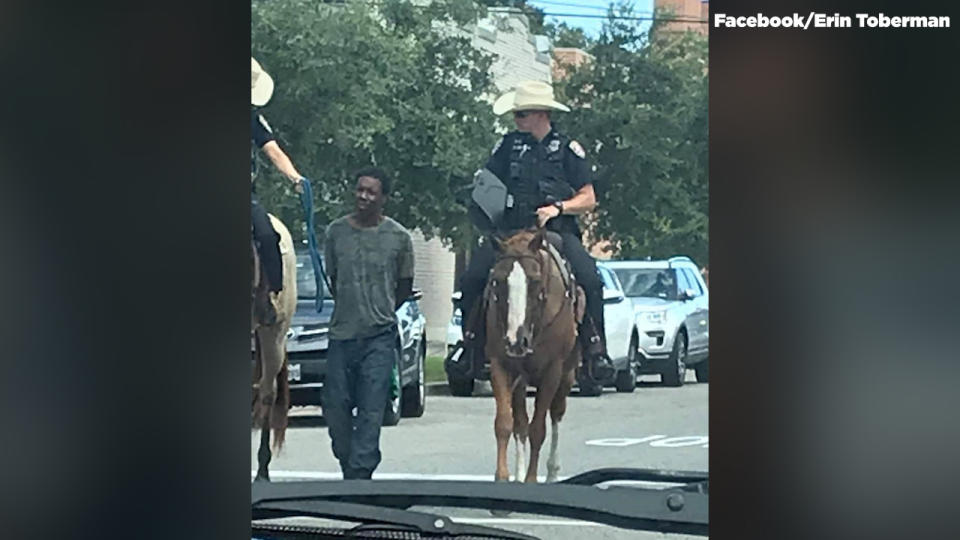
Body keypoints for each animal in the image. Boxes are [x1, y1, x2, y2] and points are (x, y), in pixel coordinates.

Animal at [484, 228, 580, 486]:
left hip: (566, 375)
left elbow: (539, 429)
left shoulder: (552, 371)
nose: (516, 341)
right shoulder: (500, 365)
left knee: (556, 414)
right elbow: (505, 423)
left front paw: (531, 479)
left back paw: (552, 472)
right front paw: (503, 477)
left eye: (535, 280)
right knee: (520, 424)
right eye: (497, 281)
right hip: (521, 379)